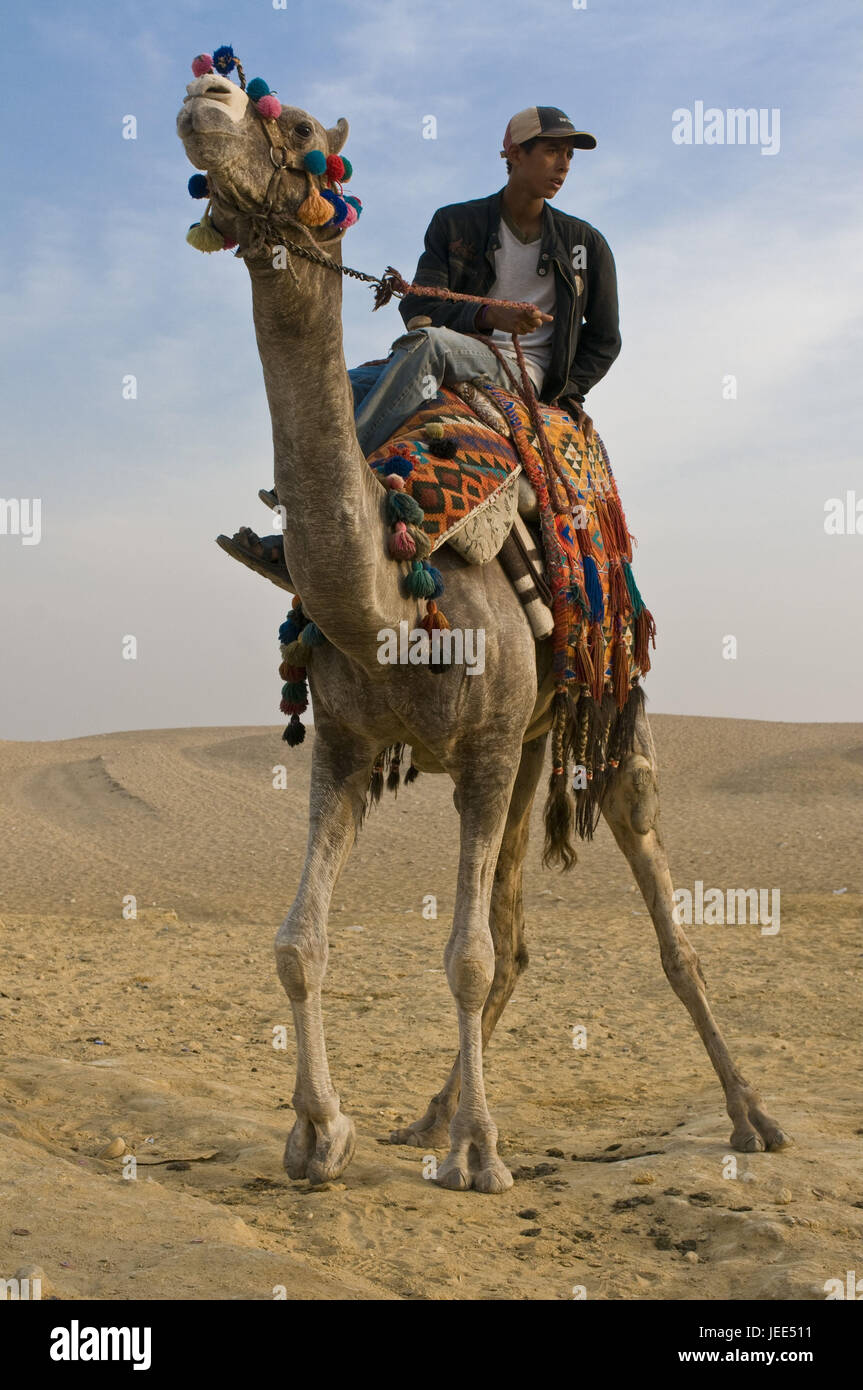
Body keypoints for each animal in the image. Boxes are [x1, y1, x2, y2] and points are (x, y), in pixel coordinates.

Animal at [176, 66, 789, 1193]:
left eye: (293, 124)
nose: (207, 94)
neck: (390, 594)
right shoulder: (348, 742)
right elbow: (300, 941)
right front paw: (319, 1132)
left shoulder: (486, 744)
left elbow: (460, 954)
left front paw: (481, 1155)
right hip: (533, 737)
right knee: (513, 928)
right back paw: (430, 1114)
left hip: (597, 720)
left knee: (661, 925)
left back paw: (747, 1115)